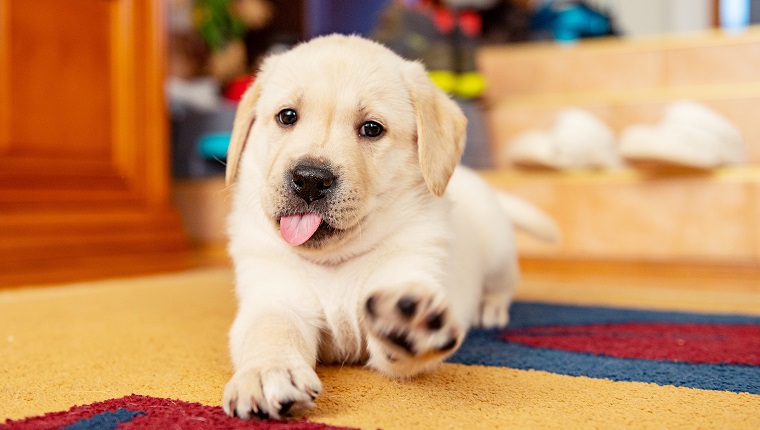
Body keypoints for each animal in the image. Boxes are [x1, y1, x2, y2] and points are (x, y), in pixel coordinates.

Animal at [220, 34, 560, 420]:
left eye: (372, 129)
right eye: (287, 116)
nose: (310, 179)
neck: (334, 262)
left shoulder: (412, 269)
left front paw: (409, 324)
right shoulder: (274, 297)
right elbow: (270, 332)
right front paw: (267, 372)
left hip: (500, 254)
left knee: (504, 286)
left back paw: (489, 309)